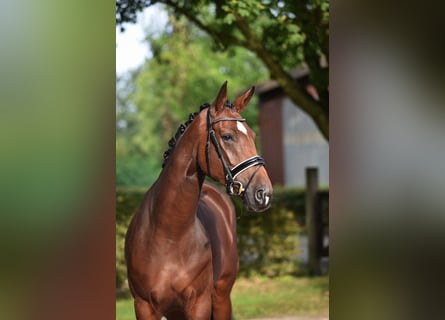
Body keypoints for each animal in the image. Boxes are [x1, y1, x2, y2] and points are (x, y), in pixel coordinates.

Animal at [123, 81, 272, 318]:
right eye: (227, 136)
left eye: (253, 135)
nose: (263, 193)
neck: (168, 235)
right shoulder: (144, 306)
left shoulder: (199, 304)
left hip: (221, 298)